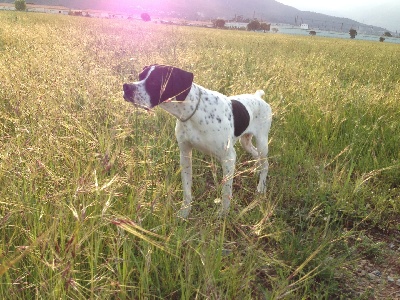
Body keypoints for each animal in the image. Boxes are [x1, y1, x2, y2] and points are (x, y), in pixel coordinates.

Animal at [122, 65, 272, 218]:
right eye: (140, 76)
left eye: (155, 81)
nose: (126, 87)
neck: (194, 112)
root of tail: (257, 97)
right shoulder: (185, 154)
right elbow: (187, 189)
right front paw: (184, 212)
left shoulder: (228, 158)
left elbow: (226, 192)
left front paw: (223, 214)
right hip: (245, 142)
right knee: (256, 155)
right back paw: (256, 169)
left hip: (262, 142)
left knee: (265, 164)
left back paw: (261, 187)